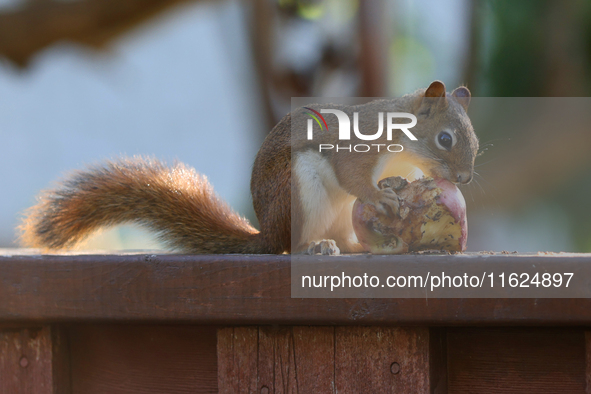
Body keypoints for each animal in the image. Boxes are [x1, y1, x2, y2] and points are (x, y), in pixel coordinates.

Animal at [19, 81, 480, 258]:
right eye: (445, 140)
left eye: (474, 141)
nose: (464, 180)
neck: (402, 144)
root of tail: (268, 231)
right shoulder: (356, 147)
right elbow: (353, 177)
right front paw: (381, 195)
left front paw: (399, 182)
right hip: (298, 192)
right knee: (291, 245)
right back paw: (312, 248)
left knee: (343, 239)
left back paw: (351, 246)